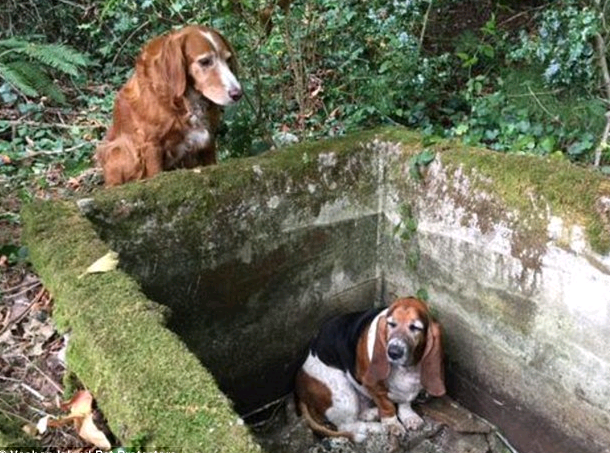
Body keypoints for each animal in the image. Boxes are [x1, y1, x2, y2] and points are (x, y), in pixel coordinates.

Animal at [96, 25, 241, 185]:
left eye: (228, 60)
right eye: (205, 61)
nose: (238, 94)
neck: (184, 101)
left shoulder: (208, 140)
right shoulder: (151, 145)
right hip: (120, 149)